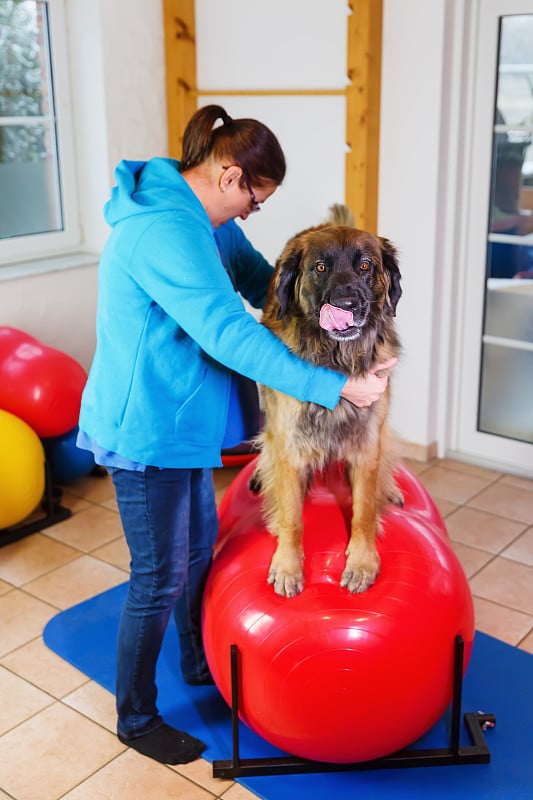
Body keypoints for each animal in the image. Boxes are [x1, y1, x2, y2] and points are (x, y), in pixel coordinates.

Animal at [251, 209, 402, 596]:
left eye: (365, 265)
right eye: (320, 267)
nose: (347, 304)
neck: (337, 361)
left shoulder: (367, 442)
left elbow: (363, 511)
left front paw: (362, 562)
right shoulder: (289, 446)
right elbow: (292, 518)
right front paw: (288, 566)